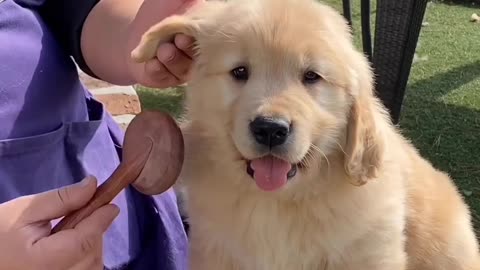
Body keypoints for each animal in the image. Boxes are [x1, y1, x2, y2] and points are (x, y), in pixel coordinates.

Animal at [131, 0, 480, 268]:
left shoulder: (368, 251)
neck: (277, 203)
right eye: (239, 72)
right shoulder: (216, 248)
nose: (270, 129)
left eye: (312, 76)